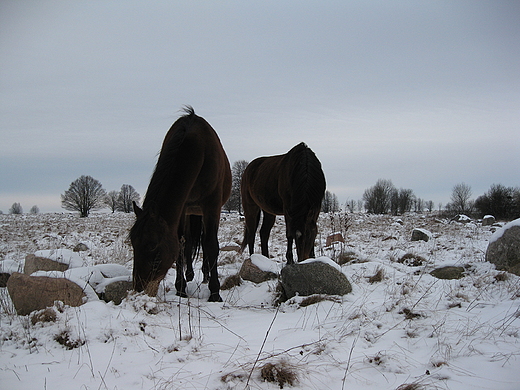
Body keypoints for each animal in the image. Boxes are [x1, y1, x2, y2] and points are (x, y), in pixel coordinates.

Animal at [129, 106, 230, 302]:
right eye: (133, 243)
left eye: (153, 245)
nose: (139, 287)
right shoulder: (182, 208)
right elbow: (181, 245)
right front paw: (181, 288)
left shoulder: (212, 206)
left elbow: (211, 245)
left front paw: (215, 293)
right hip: (191, 212)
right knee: (189, 241)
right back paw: (190, 274)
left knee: (205, 241)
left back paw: (206, 275)